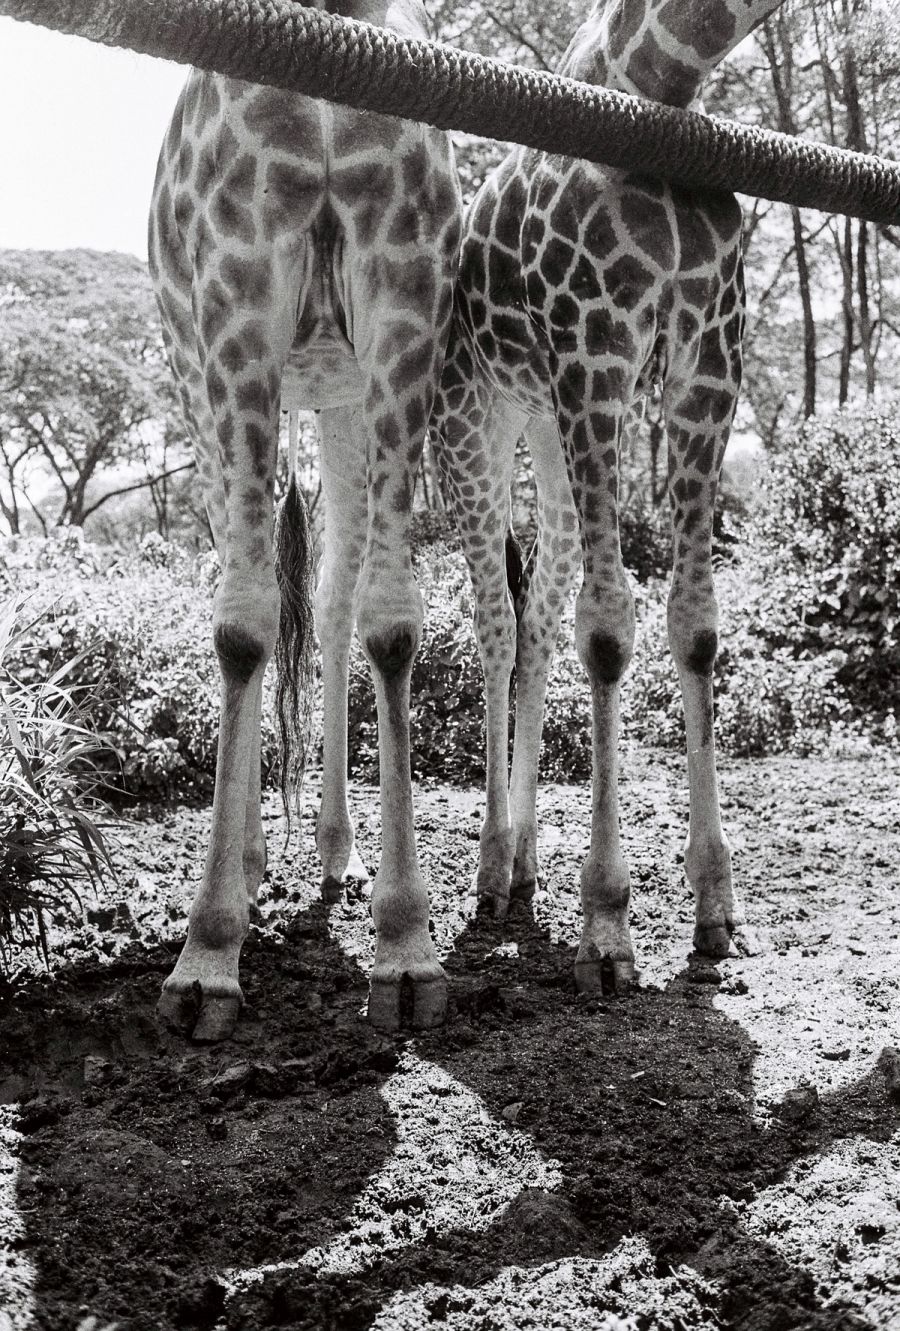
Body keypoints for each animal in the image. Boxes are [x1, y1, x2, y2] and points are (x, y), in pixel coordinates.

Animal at [148, 0, 461, 1040]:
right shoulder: (235, 288)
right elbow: (241, 628)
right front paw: (206, 957)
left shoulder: (405, 297)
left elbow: (392, 623)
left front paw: (405, 944)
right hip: (198, 375)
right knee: (249, 587)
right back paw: (247, 861)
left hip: (338, 391)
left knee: (326, 602)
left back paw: (334, 852)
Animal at [430, 0, 784, 990]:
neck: (661, 84)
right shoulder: (597, 344)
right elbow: (609, 630)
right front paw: (607, 924)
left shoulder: (709, 352)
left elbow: (694, 624)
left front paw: (715, 907)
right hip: (475, 416)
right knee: (494, 619)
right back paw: (488, 869)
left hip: (548, 427)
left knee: (536, 616)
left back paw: (523, 864)